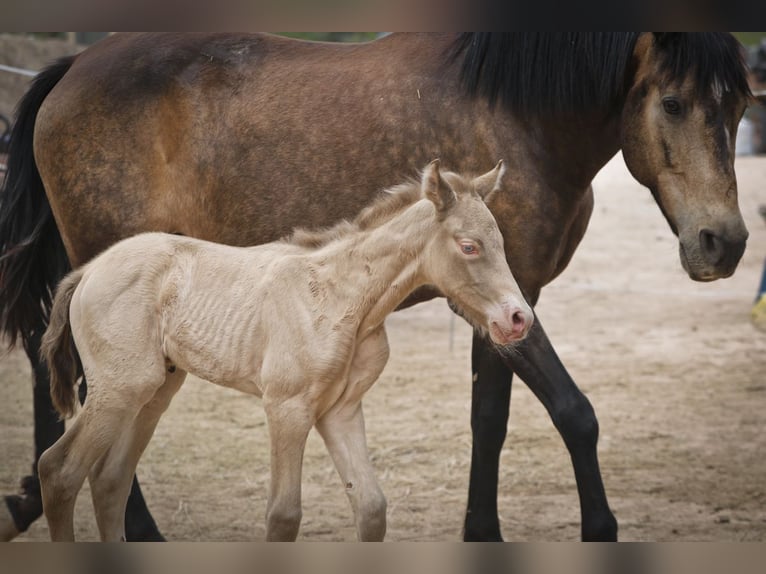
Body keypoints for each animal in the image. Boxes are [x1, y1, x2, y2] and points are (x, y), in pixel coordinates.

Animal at [37, 161, 533, 541]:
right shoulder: (287, 407)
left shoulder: (341, 409)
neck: (344, 296)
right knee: (59, 471)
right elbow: (283, 516)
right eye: (469, 246)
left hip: (155, 391)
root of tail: (88, 270)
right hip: (119, 388)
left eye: (502, 242)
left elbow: (371, 508)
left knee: (109, 480)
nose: (518, 318)